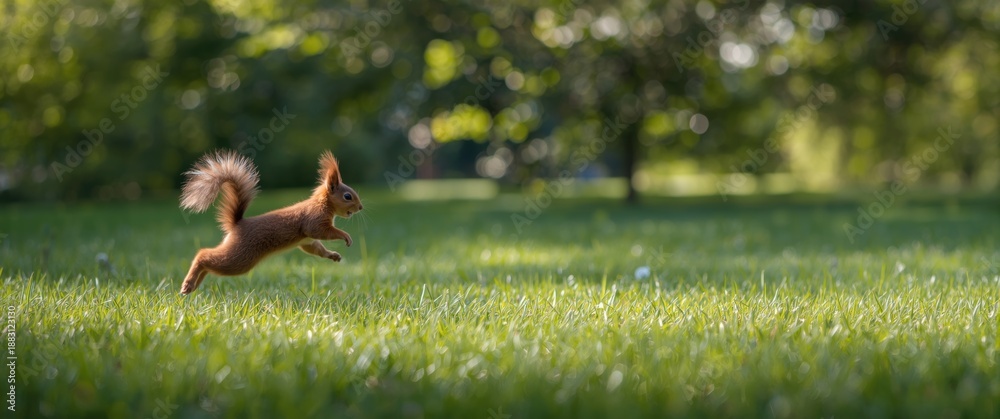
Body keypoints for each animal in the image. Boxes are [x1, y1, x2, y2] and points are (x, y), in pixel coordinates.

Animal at [178, 150, 362, 295]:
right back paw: (188, 283)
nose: (360, 207)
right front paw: (345, 236)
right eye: (347, 196)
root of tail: (237, 224)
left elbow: (315, 249)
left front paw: (333, 255)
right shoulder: (314, 220)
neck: (323, 203)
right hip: (240, 257)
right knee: (203, 255)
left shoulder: (307, 241)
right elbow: (323, 231)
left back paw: (194, 285)